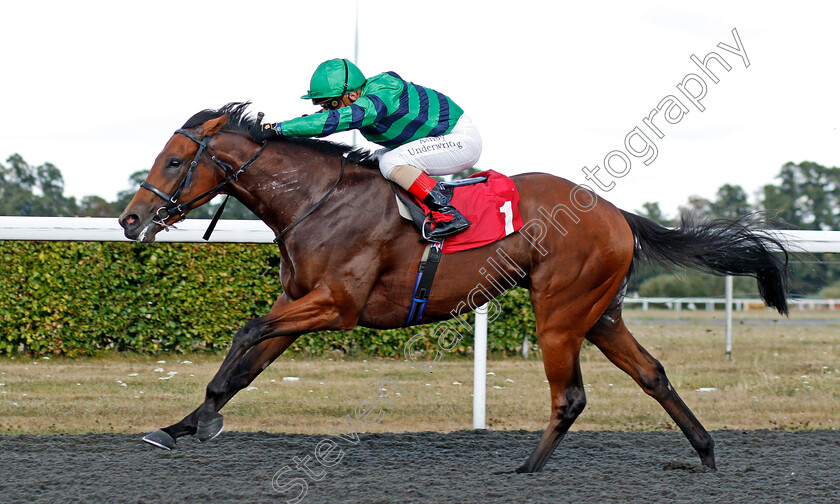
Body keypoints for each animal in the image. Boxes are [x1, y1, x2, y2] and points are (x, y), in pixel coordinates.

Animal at [121, 101, 792, 472]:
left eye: (175, 161)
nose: (130, 219)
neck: (317, 200)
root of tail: (615, 213)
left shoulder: (334, 305)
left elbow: (245, 333)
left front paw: (205, 420)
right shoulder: (300, 301)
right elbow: (245, 364)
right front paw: (179, 425)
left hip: (559, 311)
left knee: (570, 396)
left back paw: (525, 469)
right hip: (600, 313)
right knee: (652, 373)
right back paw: (705, 453)